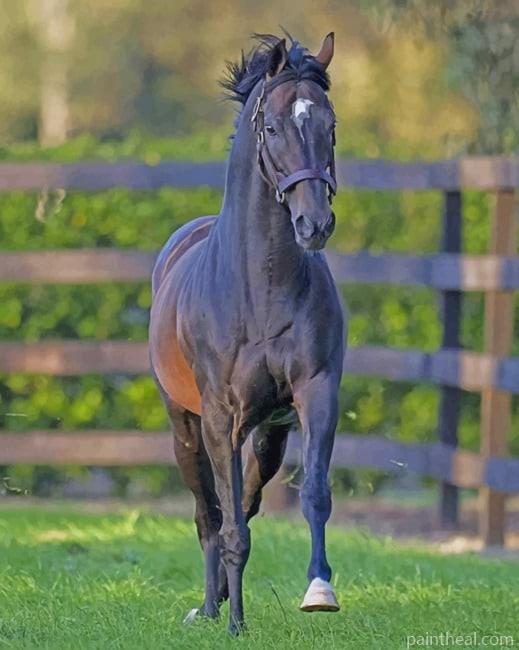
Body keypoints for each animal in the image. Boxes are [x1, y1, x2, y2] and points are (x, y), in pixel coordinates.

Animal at [149, 32, 345, 634]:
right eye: (274, 128)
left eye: (330, 124)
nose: (314, 225)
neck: (261, 289)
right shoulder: (220, 417)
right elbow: (226, 521)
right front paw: (235, 622)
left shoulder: (315, 392)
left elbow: (314, 494)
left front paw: (320, 591)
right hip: (187, 428)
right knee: (208, 513)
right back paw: (211, 607)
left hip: (269, 434)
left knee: (248, 503)